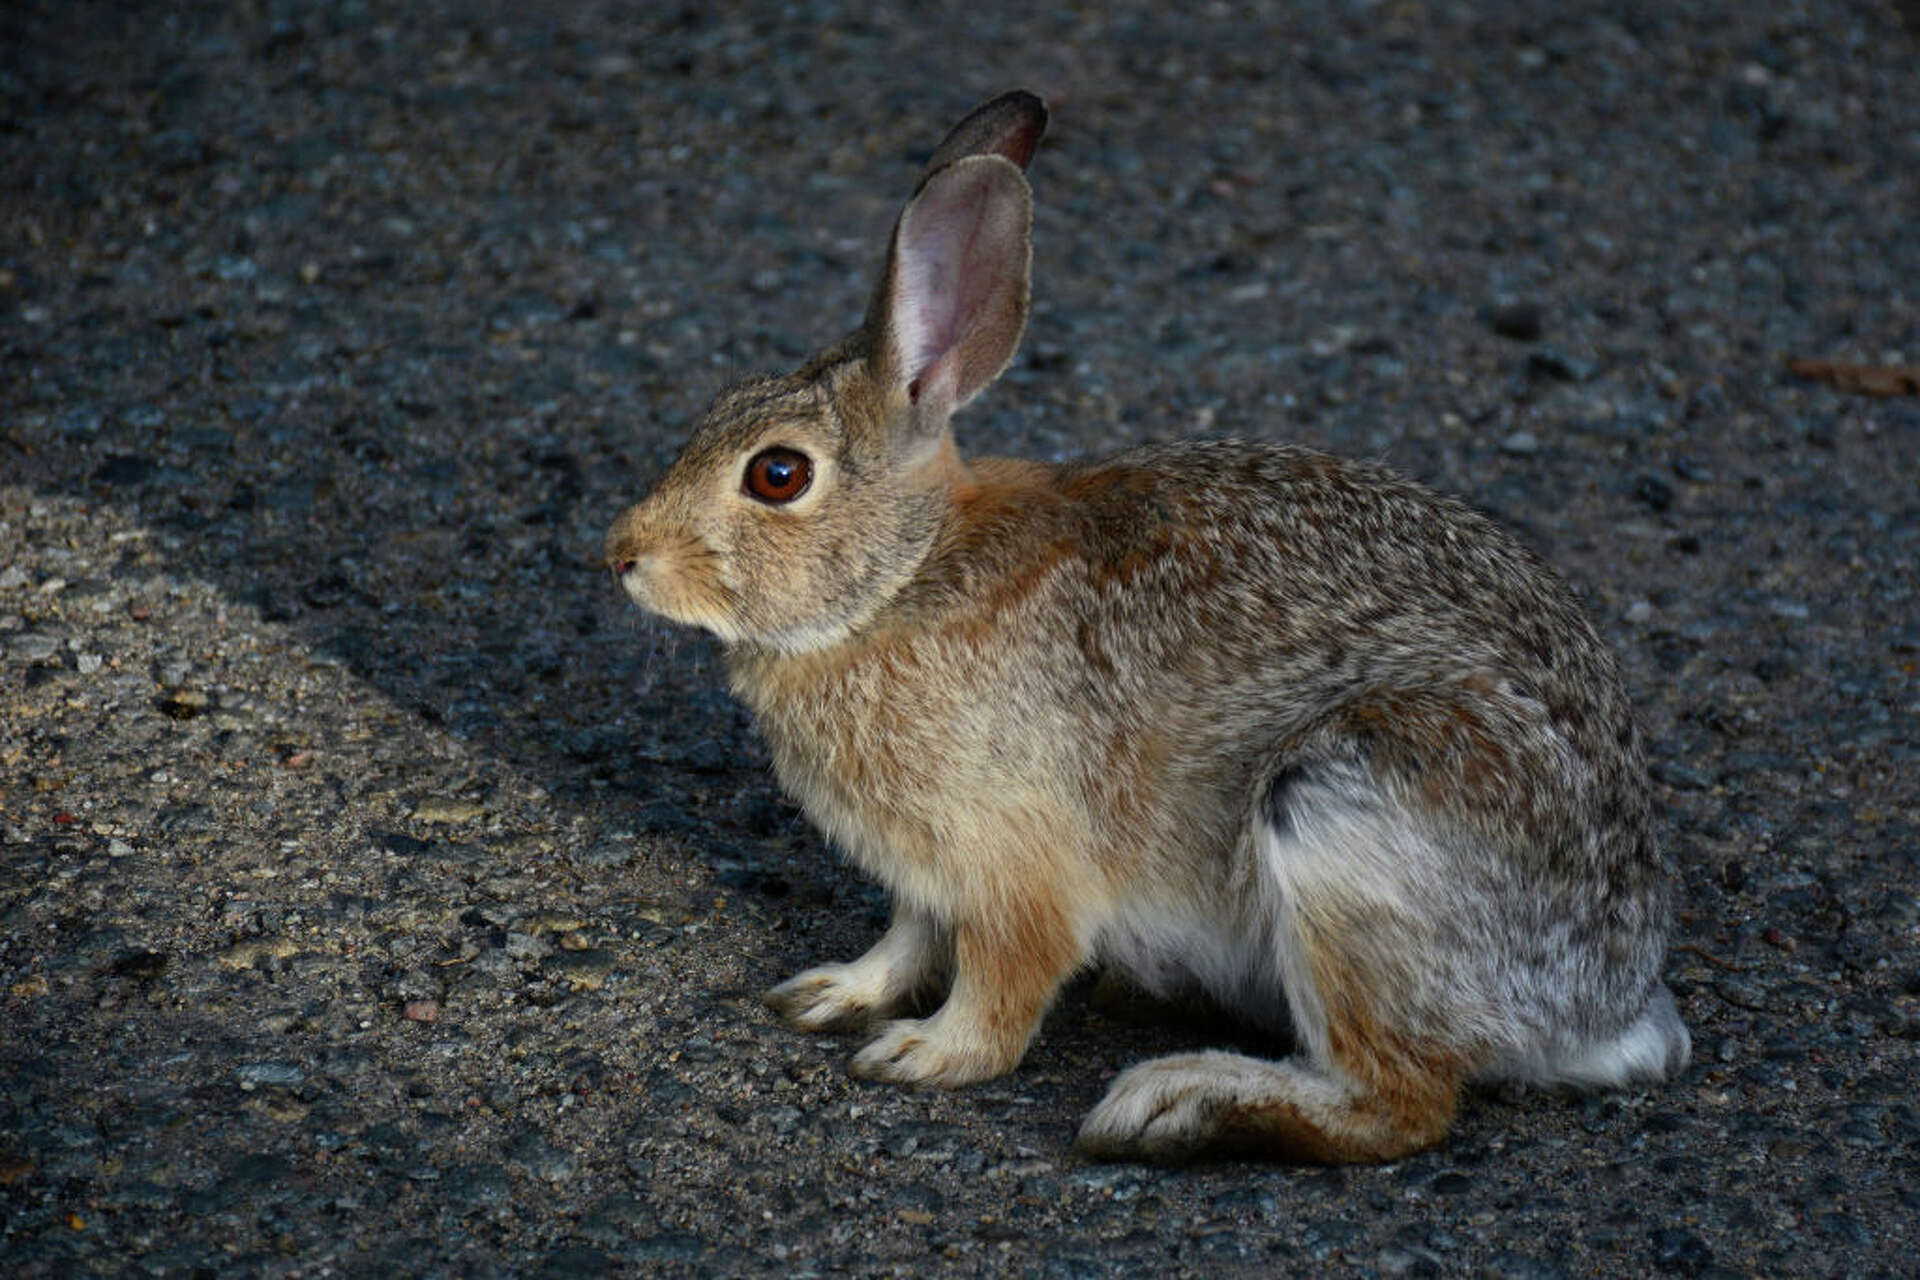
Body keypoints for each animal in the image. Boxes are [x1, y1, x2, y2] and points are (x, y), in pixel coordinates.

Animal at [603, 90, 1689, 1164]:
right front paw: (836, 992)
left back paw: (1179, 1103)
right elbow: (907, 936)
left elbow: (1004, 983)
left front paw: (924, 1053)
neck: (904, 577)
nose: (622, 555)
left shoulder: (1014, 862)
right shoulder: (925, 871)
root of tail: (1606, 1000)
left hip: (1347, 813)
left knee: (1399, 1103)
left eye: (778, 474)